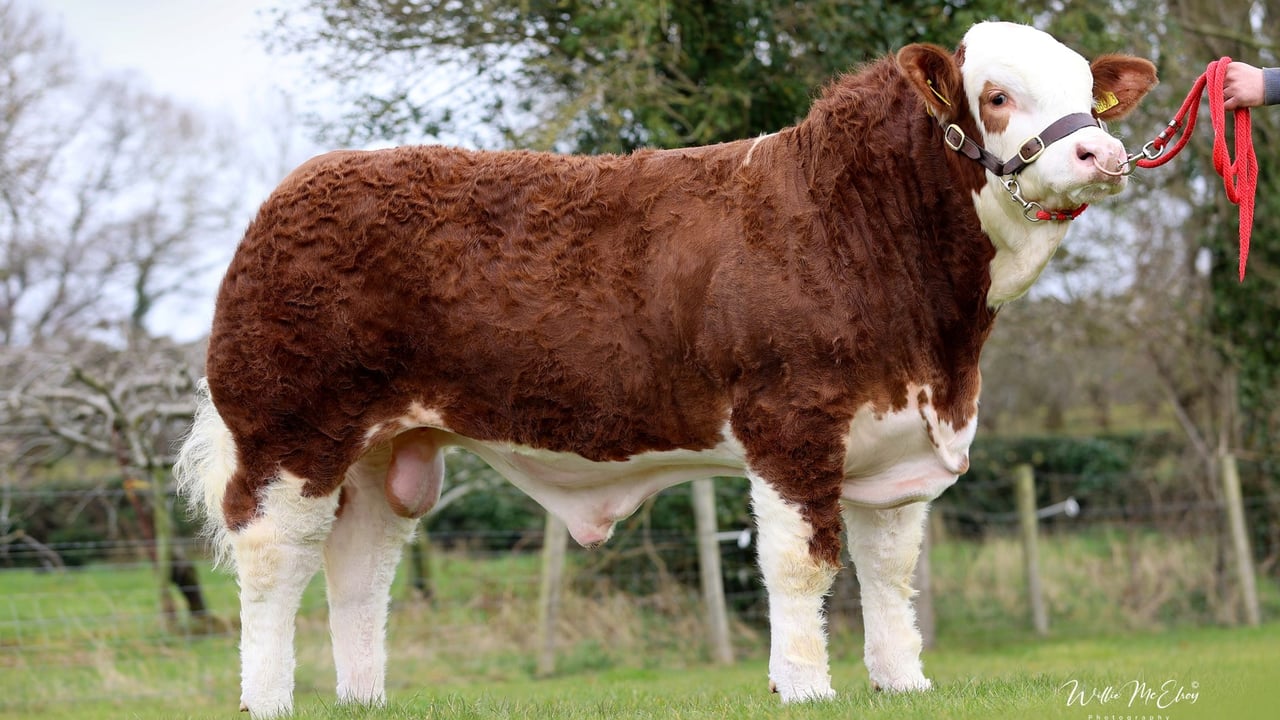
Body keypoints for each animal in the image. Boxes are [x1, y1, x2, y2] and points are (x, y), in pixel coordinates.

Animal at [175, 21, 1157, 718]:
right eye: (996, 95)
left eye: (1091, 96)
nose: (1100, 155)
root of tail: (304, 182)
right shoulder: (790, 422)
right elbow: (802, 561)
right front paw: (804, 685)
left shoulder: (897, 440)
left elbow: (890, 568)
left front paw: (901, 680)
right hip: (290, 433)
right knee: (274, 561)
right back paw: (268, 700)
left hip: (385, 449)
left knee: (360, 567)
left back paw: (365, 698)